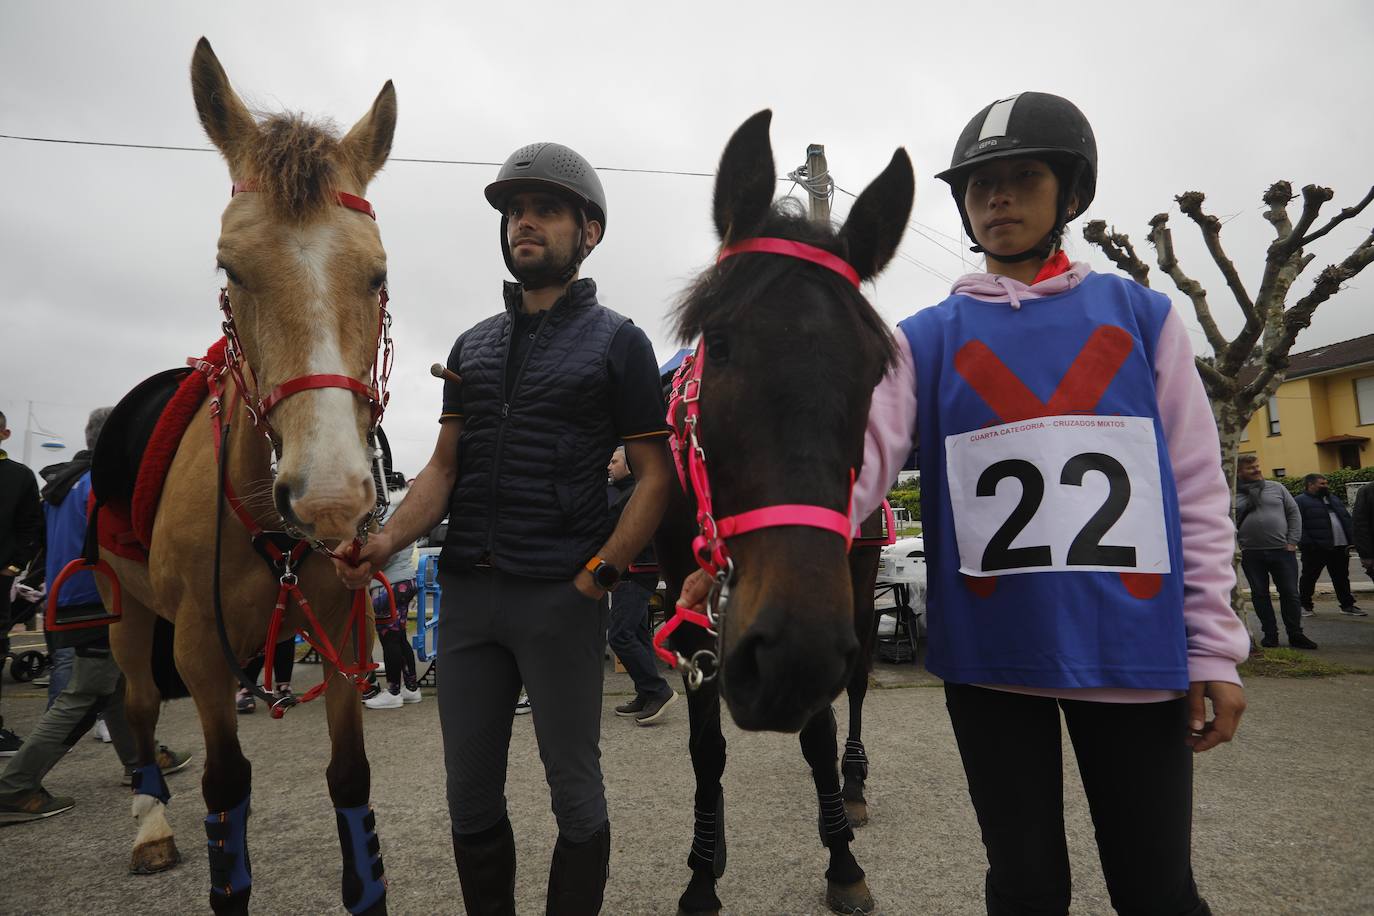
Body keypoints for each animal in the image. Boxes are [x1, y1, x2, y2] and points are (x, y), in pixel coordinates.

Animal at [101, 37, 398, 916]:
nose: (331, 498)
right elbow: (227, 790)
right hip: (127, 615)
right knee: (136, 708)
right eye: (228, 267)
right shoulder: (199, 648)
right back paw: (150, 824)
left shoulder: (343, 628)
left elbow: (350, 779)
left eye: (376, 274)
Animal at [656, 112, 912, 916]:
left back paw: (853, 784)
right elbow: (706, 745)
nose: (790, 656)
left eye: (875, 369)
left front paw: (843, 859)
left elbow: (821, 727)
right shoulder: (682, 593)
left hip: (859, 574)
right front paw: (703, 870)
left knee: (857, 678)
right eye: (718, 343)